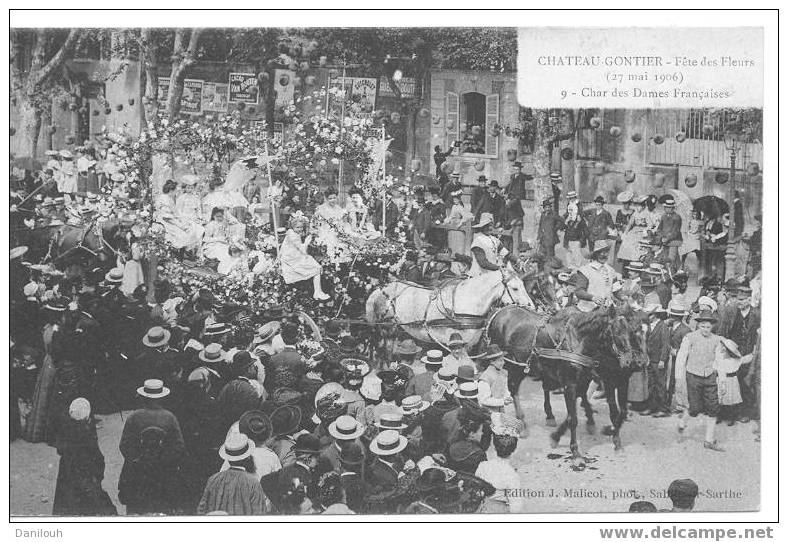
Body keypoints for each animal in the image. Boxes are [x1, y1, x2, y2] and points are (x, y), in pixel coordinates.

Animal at [490, 304, 648, 462]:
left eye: (634, 331)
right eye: (616, 331)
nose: (635, 362)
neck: (579, 341)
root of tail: (501, 312)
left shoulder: (594, 379)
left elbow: (611, 410)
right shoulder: (573, 384)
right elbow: (573, 418)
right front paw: (574, 450)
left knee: (540, 387)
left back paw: (551, 416)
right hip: (514, 365)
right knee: (513, 389)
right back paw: (521, 423)